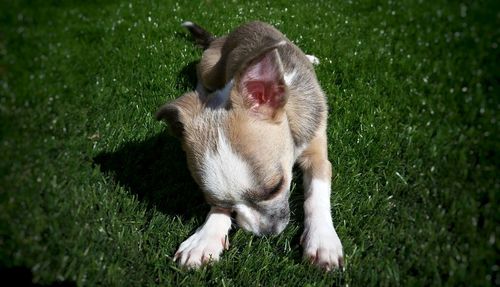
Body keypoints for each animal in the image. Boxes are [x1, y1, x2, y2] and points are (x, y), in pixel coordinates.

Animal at [156, 21, 344, 272]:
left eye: (276, 186)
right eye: (215, 202)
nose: (265, 233)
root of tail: (223, 36)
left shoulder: (317, 154)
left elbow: (317, 193)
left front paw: (322, 239)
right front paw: (206, 238)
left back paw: (310, 57)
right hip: (209, 68)